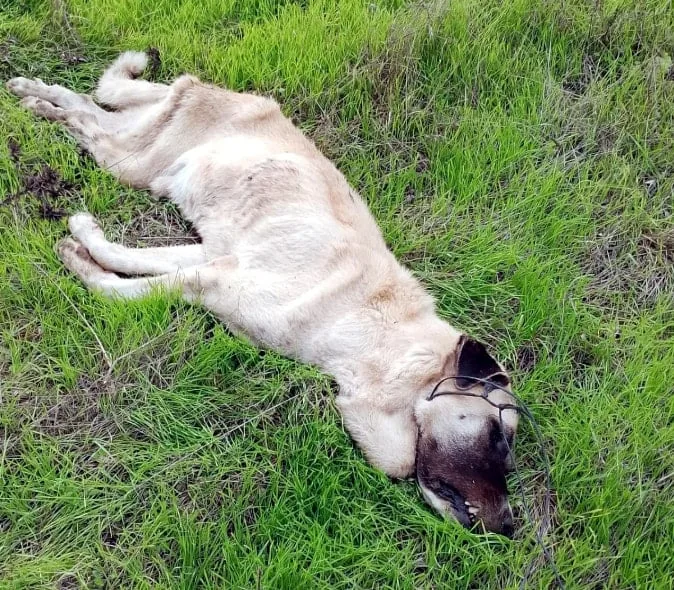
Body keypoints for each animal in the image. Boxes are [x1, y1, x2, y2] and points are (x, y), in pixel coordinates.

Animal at [5, 53, 516, 540]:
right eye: (500, 440)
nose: (510, 530)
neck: (381, 333)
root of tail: (202, 88)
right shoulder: (214, 279)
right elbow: (126, 284)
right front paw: (82, 251)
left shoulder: (211, 260)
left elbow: (133, 260)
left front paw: (83, 244)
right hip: (130, 163)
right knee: (86, 122)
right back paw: (40, 107)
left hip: (138, 144)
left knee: (87, 104)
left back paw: (32, 93)